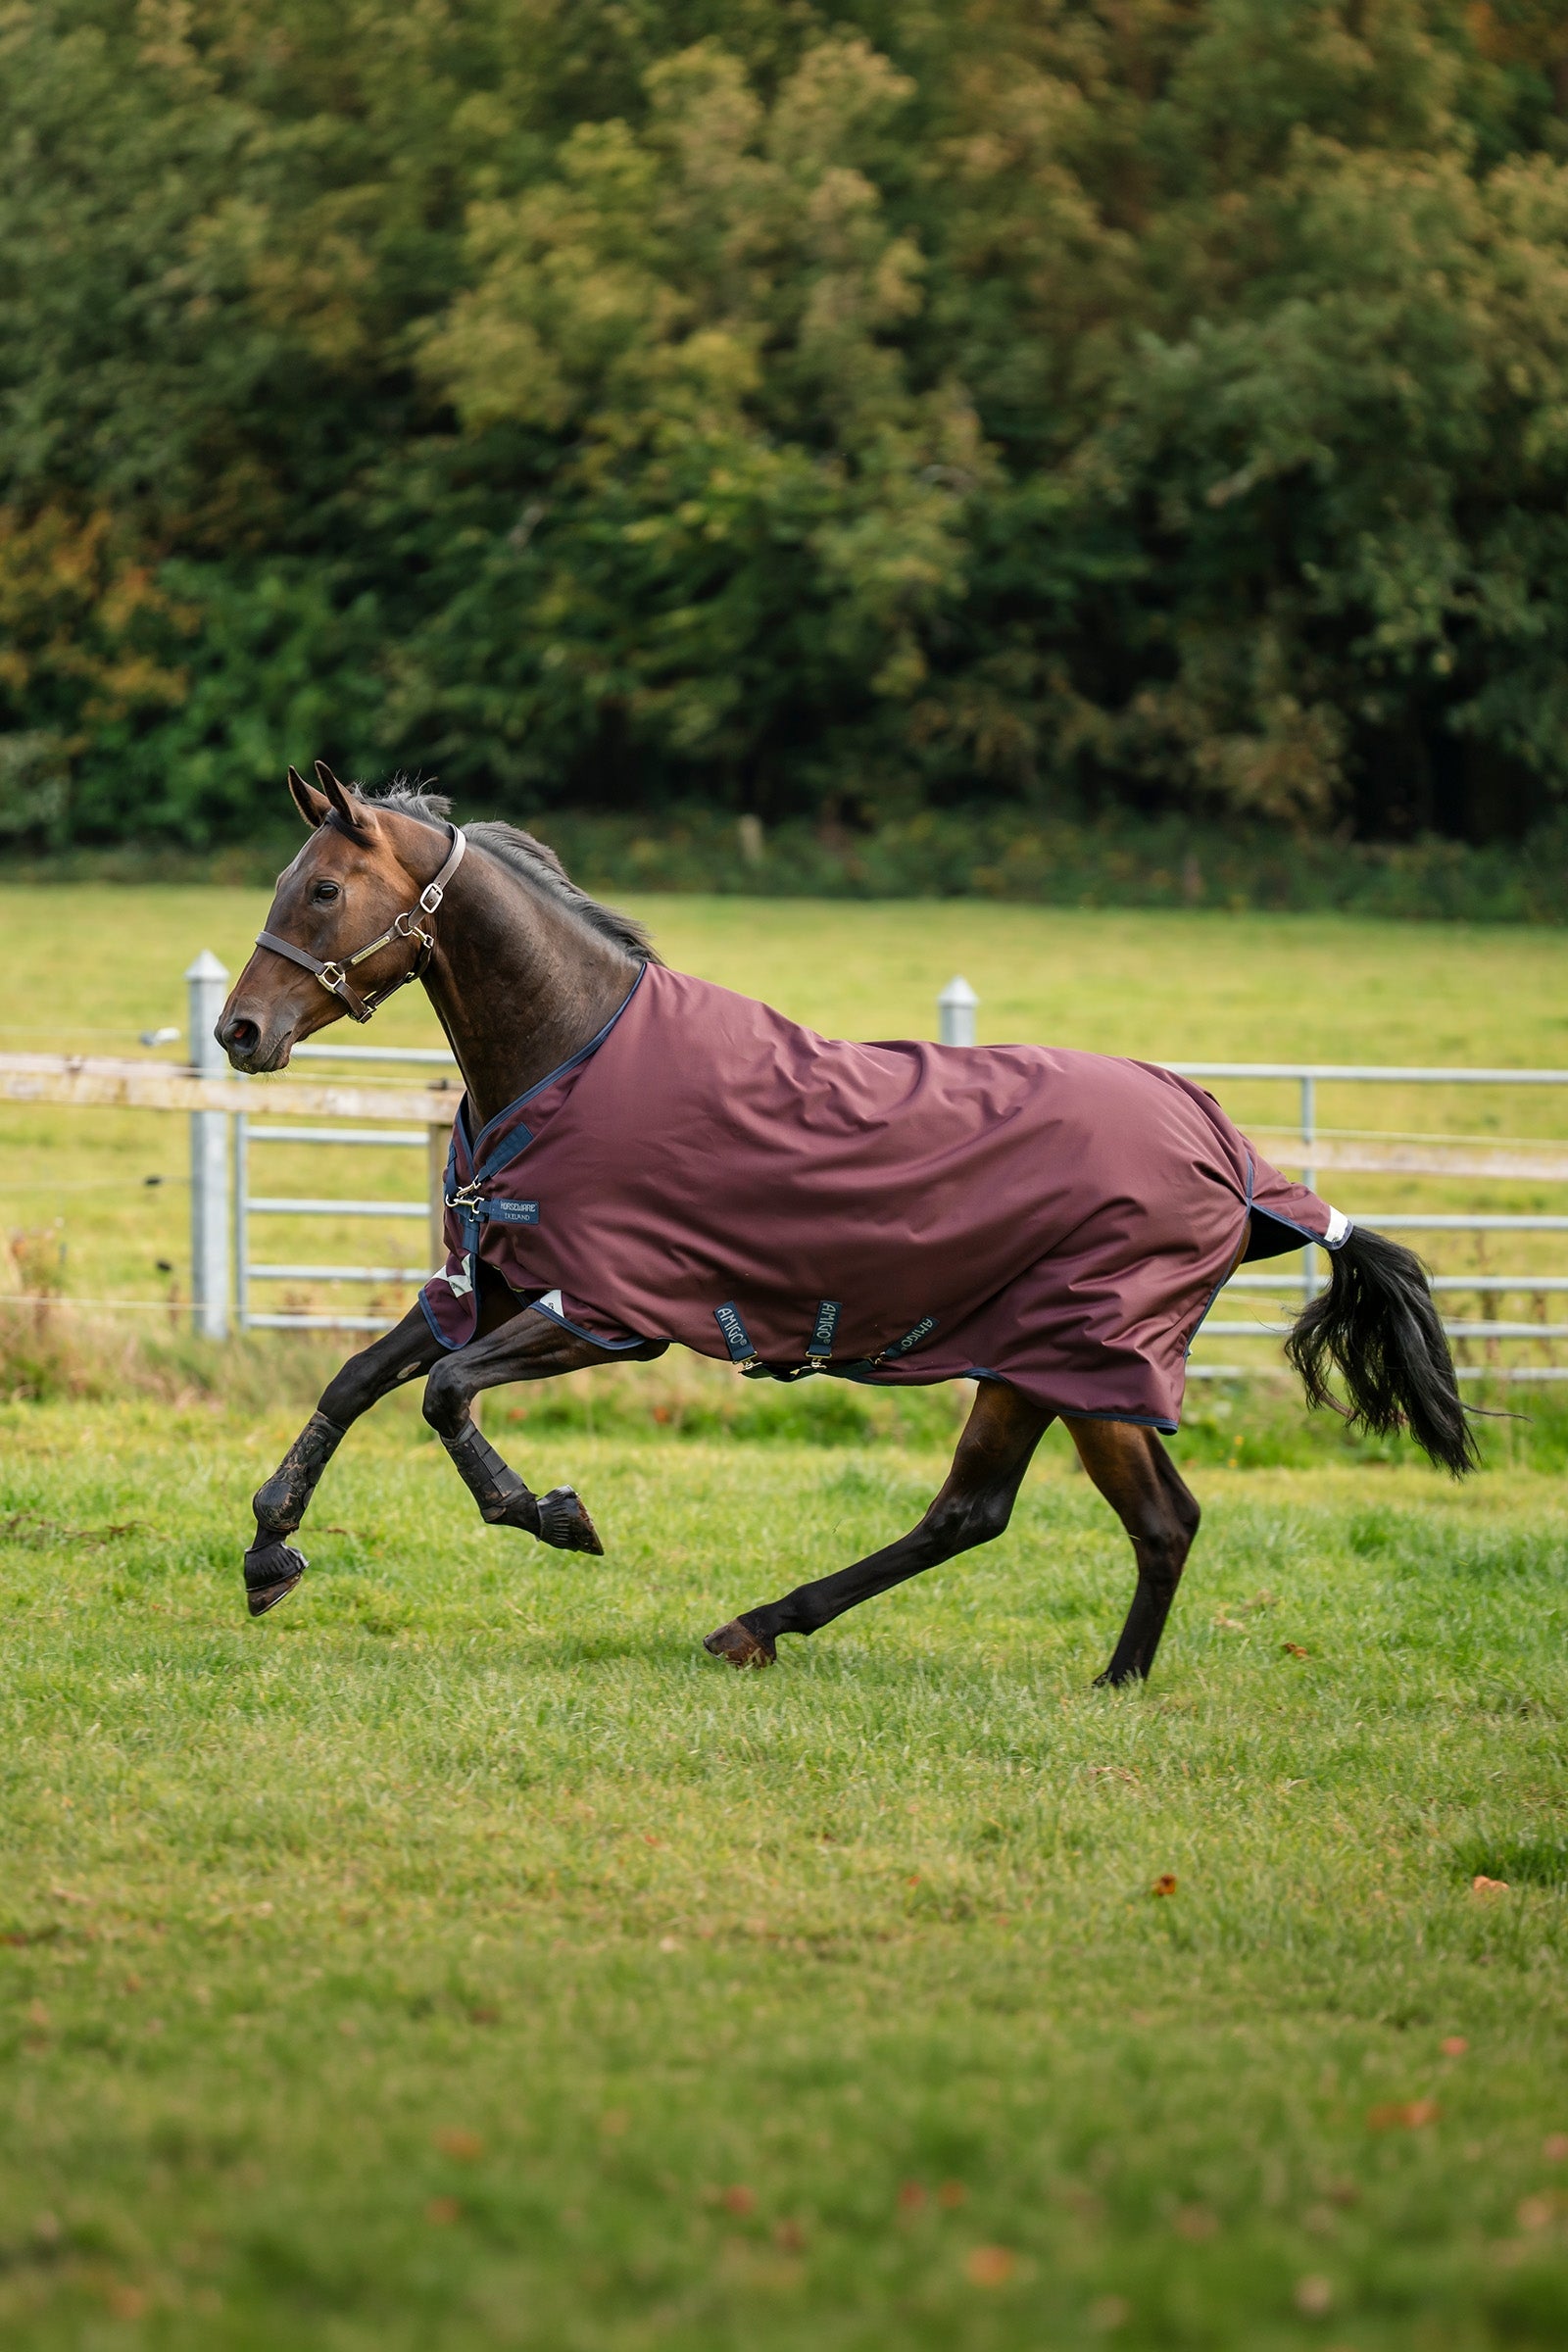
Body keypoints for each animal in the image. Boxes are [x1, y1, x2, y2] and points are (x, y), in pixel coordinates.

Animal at [215, 764, 1474, 1684]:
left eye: (321, 889)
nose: (239, 1032)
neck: (575, 1047)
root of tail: (1235, 1160)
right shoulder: (502, 1283)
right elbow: (358, 1381)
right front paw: (271, 1548)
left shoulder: (614, 1313)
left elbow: (443, 1394)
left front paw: (549, 1513)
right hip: (1045, 1367)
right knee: (1034, 1515)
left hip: (1077, 1357)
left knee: (1092, 1518)